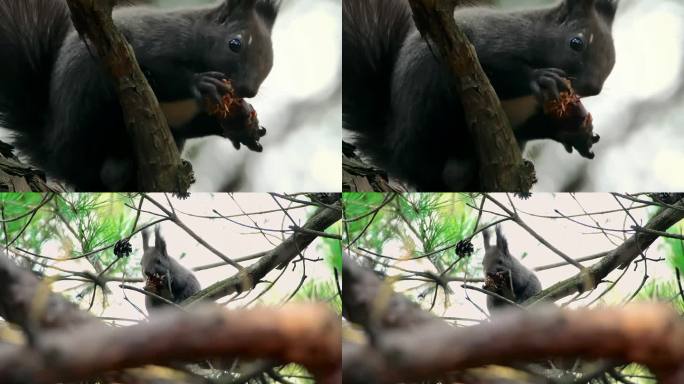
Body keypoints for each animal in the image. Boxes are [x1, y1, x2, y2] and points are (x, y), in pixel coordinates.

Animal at [0, 0, 280, 191]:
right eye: (235, 43)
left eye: (270, 60)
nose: (247, 91)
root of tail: (52, 148)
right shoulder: (153, 44)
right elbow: (156, 72)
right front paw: (201, 83)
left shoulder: (184, 117)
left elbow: (197, 124)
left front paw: (243, 125)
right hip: (86, 101)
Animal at [344, 0, 616, 191]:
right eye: (576, 42)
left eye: (613, 58)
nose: (592, 88)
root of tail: (395, 149)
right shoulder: (487, 44)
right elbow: (492, 70)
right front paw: (539, 78)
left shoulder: (527, 116)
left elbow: (538, 125)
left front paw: (576, 132)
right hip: (428, 98)